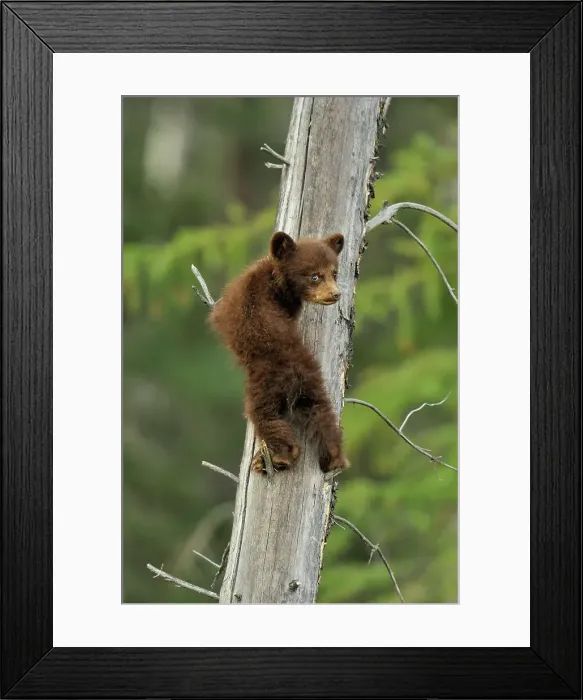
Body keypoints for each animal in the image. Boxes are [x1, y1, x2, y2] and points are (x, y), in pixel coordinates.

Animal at [208, 231, 349, 475]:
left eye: (334, 273)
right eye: (315, 276)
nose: (335, 294)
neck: (275, 279)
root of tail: (296, 367)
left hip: (265, 386)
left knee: (265, 417)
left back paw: (279, 456)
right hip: (314, 386)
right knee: (323, 415)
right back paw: (334, 458)